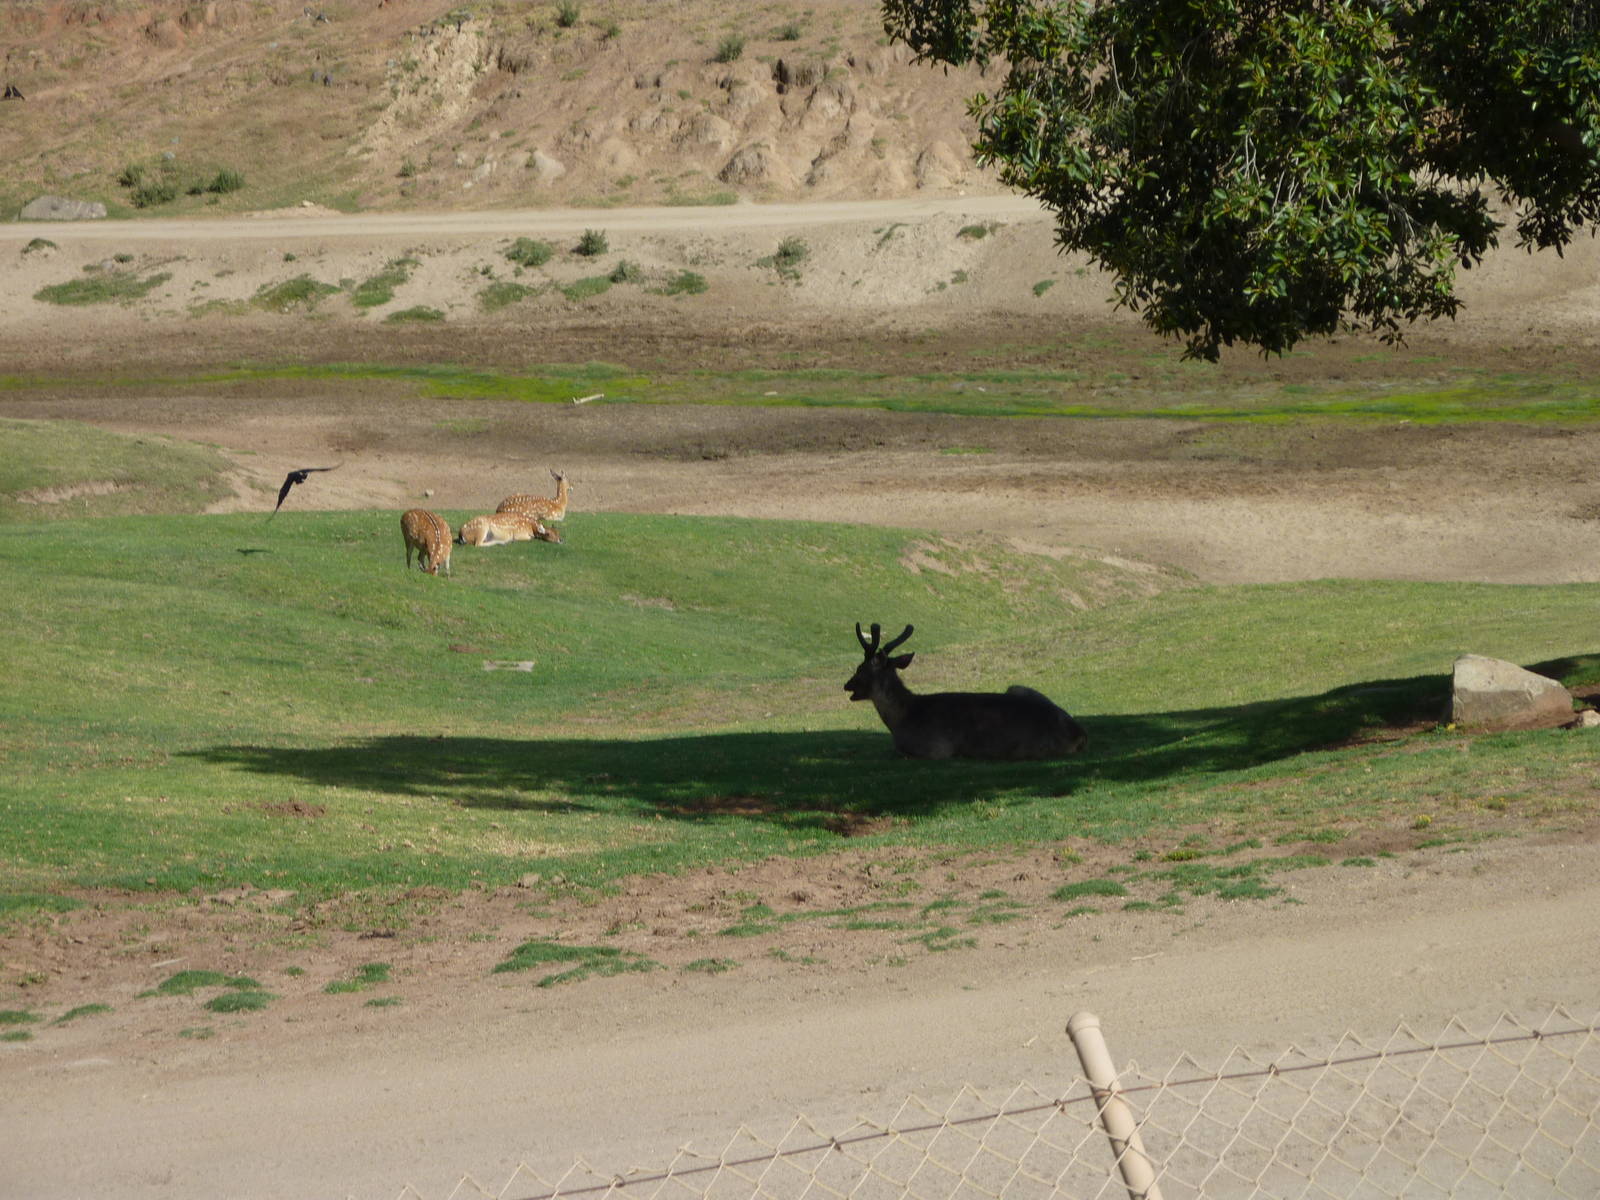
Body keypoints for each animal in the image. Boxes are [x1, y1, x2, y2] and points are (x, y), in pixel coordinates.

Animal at [844, 623, 1087, 760]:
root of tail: (1079, 733)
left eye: (860, 668)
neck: (903, 718)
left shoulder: (936, 749)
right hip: (1018, 688)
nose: (847, 685)